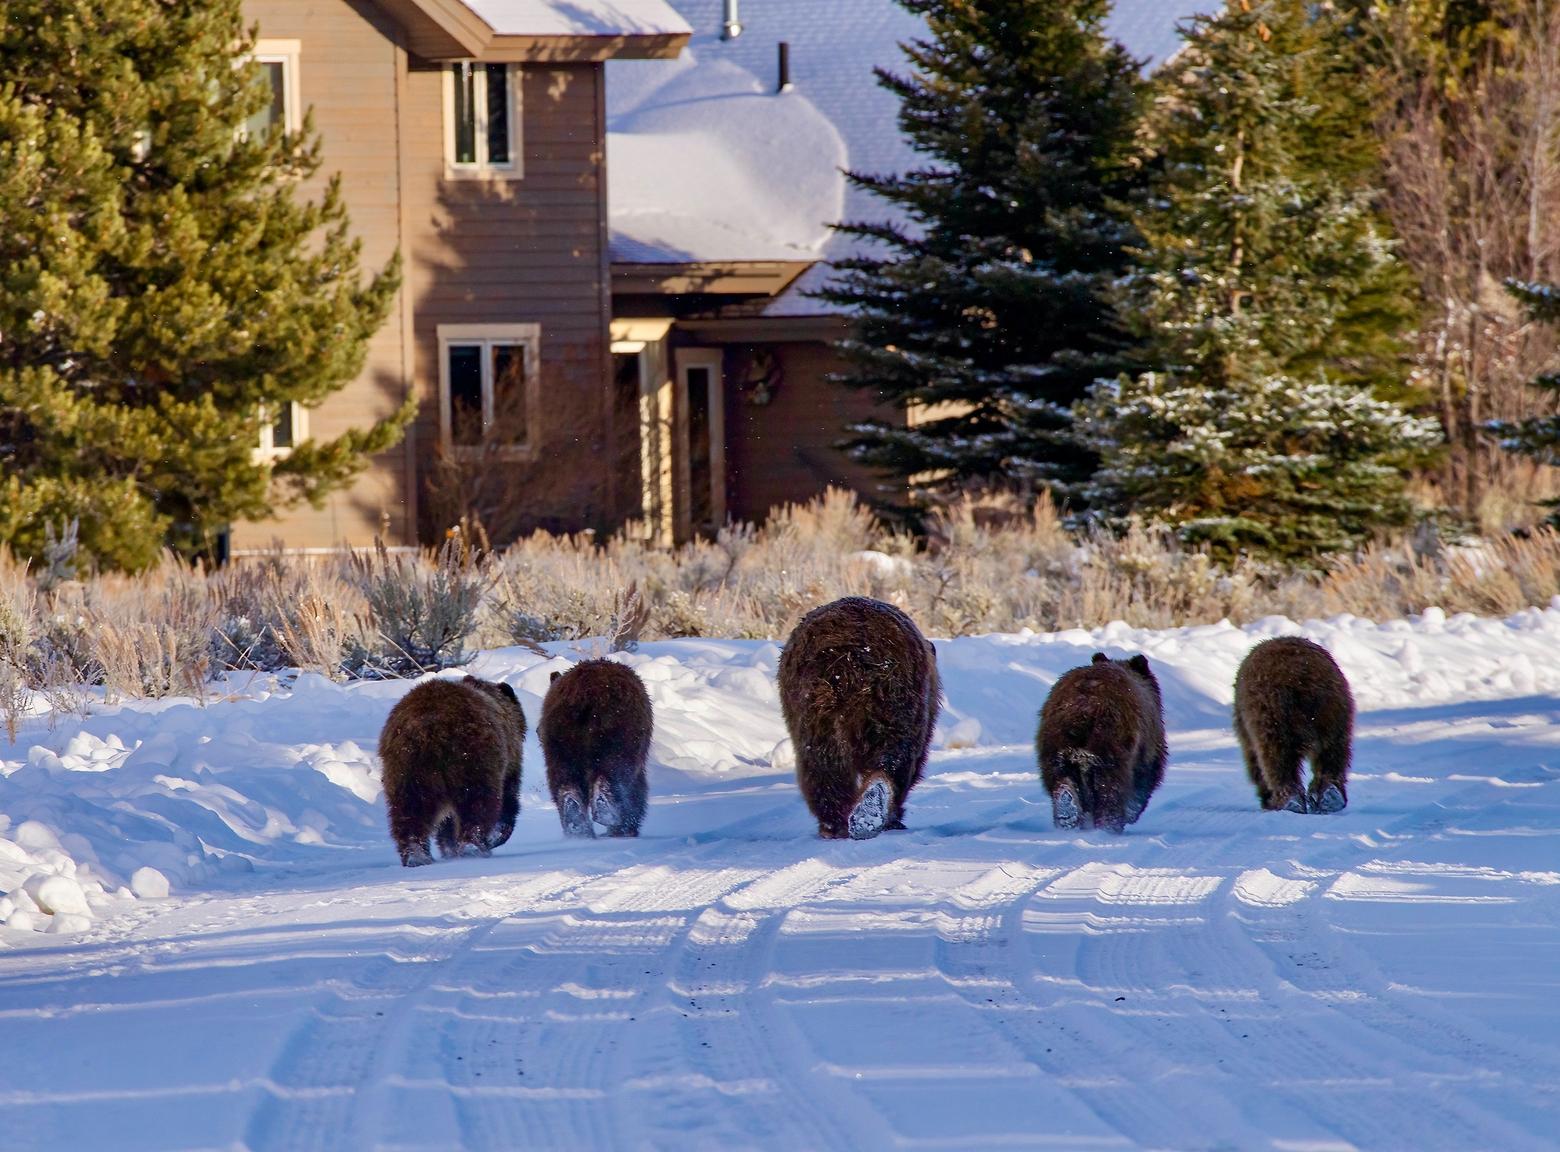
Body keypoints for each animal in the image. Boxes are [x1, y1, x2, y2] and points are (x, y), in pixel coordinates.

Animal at [379, 674, 527, 861]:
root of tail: (431, 727)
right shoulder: (509, 761)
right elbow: (508, 799)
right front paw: (495, 837)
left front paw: (448, 847)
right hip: (472, 758)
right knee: (476, 803)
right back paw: (473, 846)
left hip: (406, 767)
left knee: (409, 810)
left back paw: (416, 855)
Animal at [539, 655, 655, 836]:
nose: (537, 731)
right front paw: (627, 826)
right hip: (616, 730)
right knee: (614, 769)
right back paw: (607, 812)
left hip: (560, 737)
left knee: (563, 778)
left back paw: (576, 823)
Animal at [1029, 649, 1166, 830]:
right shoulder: (1147, 749)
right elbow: (1142, 784)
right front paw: (1131, 815)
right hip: (1111, 744)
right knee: (1110, 789)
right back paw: (1108, 826)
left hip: (1055, 747)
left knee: (1062, 783)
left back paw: (1067, 815)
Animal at [1229, 636, 1354, 805]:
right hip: (1334, 711)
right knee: (1334, 752)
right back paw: (1331, 794)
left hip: (1272, 712)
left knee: (1277, 757)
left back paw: (1290, 799)